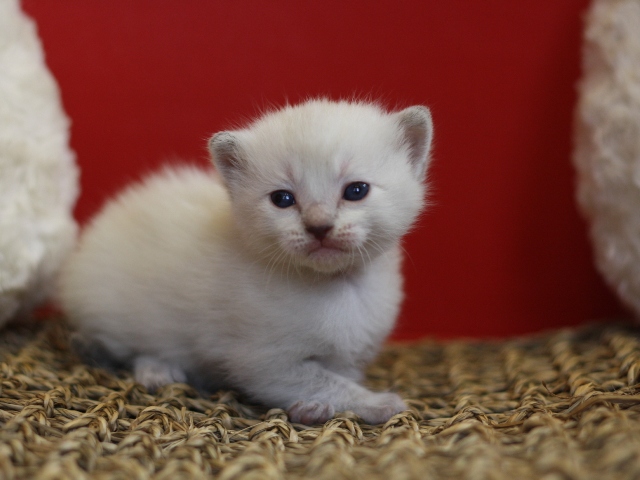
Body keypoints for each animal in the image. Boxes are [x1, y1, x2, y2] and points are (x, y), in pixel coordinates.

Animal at [58, 97, 436, 424]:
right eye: (282, 199)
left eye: (356, 191)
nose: (318, 226)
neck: (336, 285)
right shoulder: (264, 361)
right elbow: (322, 380)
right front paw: (374, 403)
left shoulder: (350, 356)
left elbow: (336, 376)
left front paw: (315, 408)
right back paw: (157, 369)